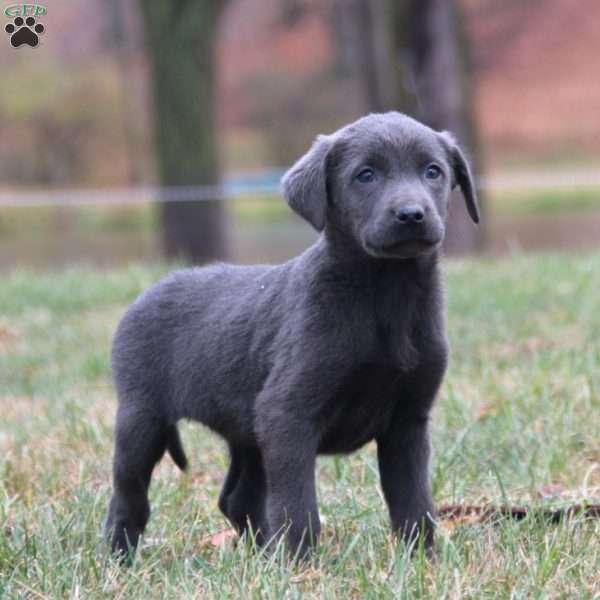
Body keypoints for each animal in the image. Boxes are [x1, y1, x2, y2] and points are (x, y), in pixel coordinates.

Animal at [103, 111, 478, 556]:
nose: (411, 214)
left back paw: (263, 554)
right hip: (141, 419)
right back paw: (119, 558)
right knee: (128, 500)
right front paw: (302, 562)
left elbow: (414, 503)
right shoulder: (287, 416)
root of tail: (144, 296)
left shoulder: (408, 422)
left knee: (237, 499)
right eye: (365, 175)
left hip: (246, 433)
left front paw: (420, 558)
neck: (385, 295)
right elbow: (298, 507)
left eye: (433, 172)